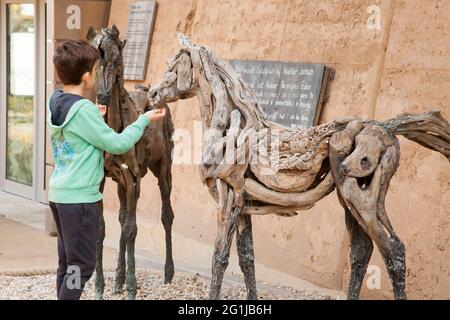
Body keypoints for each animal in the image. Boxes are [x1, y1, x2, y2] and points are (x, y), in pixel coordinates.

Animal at [145, 34, 450, 300]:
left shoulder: (227, 198)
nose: (153, 94)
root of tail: (387, 129)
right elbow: (247, 258)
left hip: (363, 199)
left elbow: (219, 258)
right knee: (361, 251)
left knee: (393, 251)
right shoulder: (243, 205)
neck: (236, 127)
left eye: (173, 66)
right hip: (351, 198)